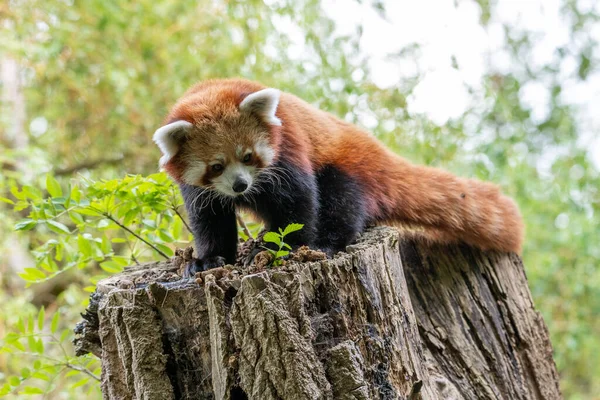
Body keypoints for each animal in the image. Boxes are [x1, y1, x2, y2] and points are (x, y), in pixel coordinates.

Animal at [152, 77, 524, 276]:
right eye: (216, 166)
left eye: (247, 156)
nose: (240, 185)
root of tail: (377, 150)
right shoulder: (201, 190)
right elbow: (210, 221)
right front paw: (207, 261)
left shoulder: (290, 149)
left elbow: (298, 203)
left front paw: (281, 248)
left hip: (349, 169)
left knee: (340, 205)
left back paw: (325, 243)